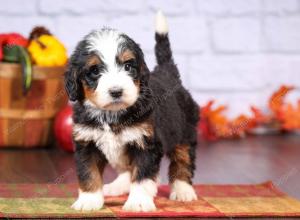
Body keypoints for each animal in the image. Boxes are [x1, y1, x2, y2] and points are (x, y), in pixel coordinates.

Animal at [64, 10, 199, 211]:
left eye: (128, 66)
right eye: (94, 71)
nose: (116, 91)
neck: (111, 115)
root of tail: (168, 73)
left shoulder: (146, 143)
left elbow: (142, 175)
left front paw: (139, 202)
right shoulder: (86, 142)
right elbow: (88, 172)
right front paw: (89, 200)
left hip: (184, 131)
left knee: (183, 159)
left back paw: (183, 190)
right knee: (128, 170)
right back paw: (117, 186)